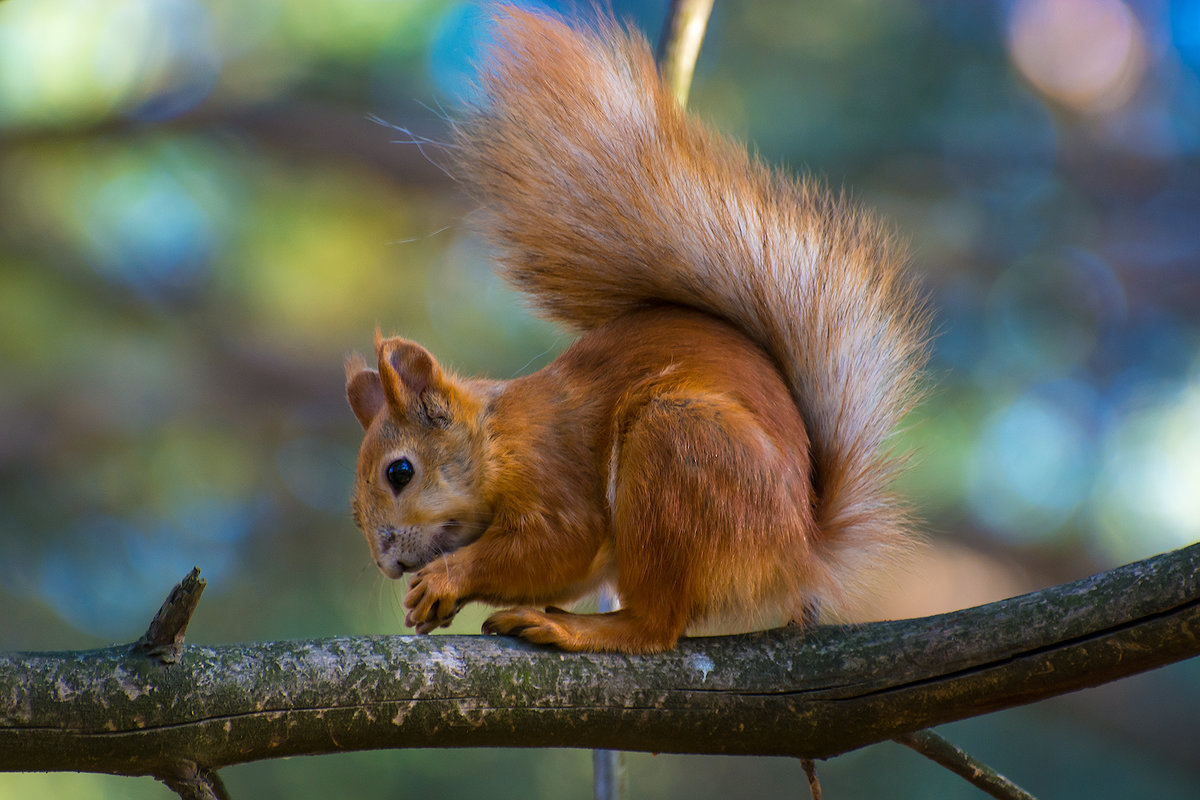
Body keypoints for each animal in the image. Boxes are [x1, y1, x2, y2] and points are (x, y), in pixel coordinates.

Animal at [345, 9, 926, 652]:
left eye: (400, 472)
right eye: (355, 510)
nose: (388, 563)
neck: (494, 436)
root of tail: (801, 553)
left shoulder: (552, 469)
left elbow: (559, 544)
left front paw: (448, 576)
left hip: (678, 450)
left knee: (657, 625)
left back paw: (574, 626)